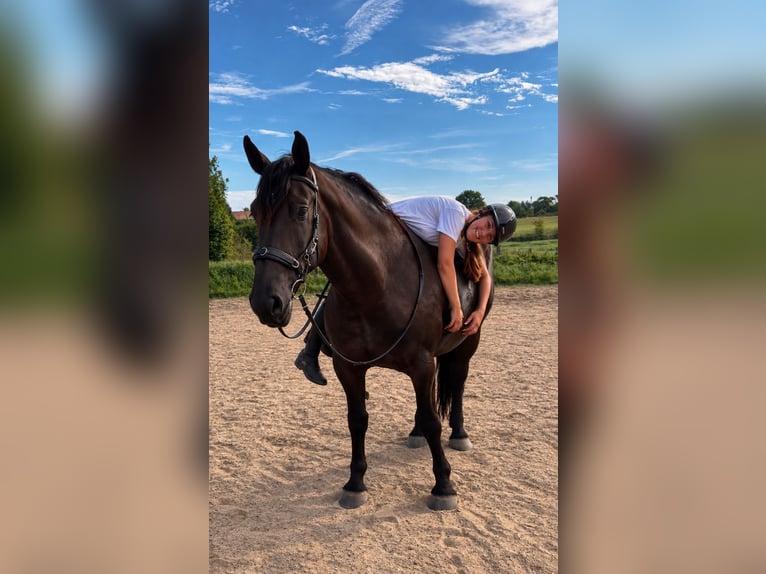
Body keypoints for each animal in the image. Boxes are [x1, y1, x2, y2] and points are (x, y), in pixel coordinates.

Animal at [244, 131, 494, 511]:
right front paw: (355, 483)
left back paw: (460, 433)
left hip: (467, 345)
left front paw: (443, 486)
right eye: (256, 212)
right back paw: (414, 433)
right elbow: (357, 420)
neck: (377, 284)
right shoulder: (349, 368)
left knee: (458, 384)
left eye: (301, 210)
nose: (265, 302)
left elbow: (434, 421)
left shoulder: (422, 363)